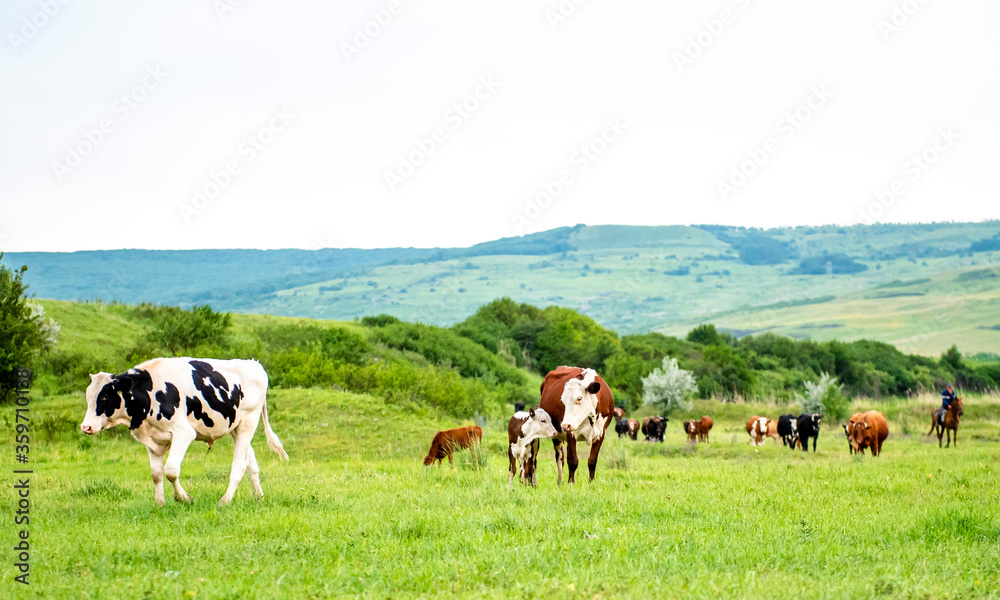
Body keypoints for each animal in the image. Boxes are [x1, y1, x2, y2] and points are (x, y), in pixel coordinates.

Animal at [80, 356, 288, 506]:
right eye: (88, 396)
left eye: (105, 396)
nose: (85, 426)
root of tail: (254, 363)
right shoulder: (152, 440)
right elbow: (156, 474)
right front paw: (159, 503)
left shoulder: (184, 433)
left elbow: (171, 470)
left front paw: (184, 498)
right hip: (236, 428)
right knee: (251, 462)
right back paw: (259, 496)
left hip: (248, 422)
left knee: (239, 464)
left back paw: (225, 500)